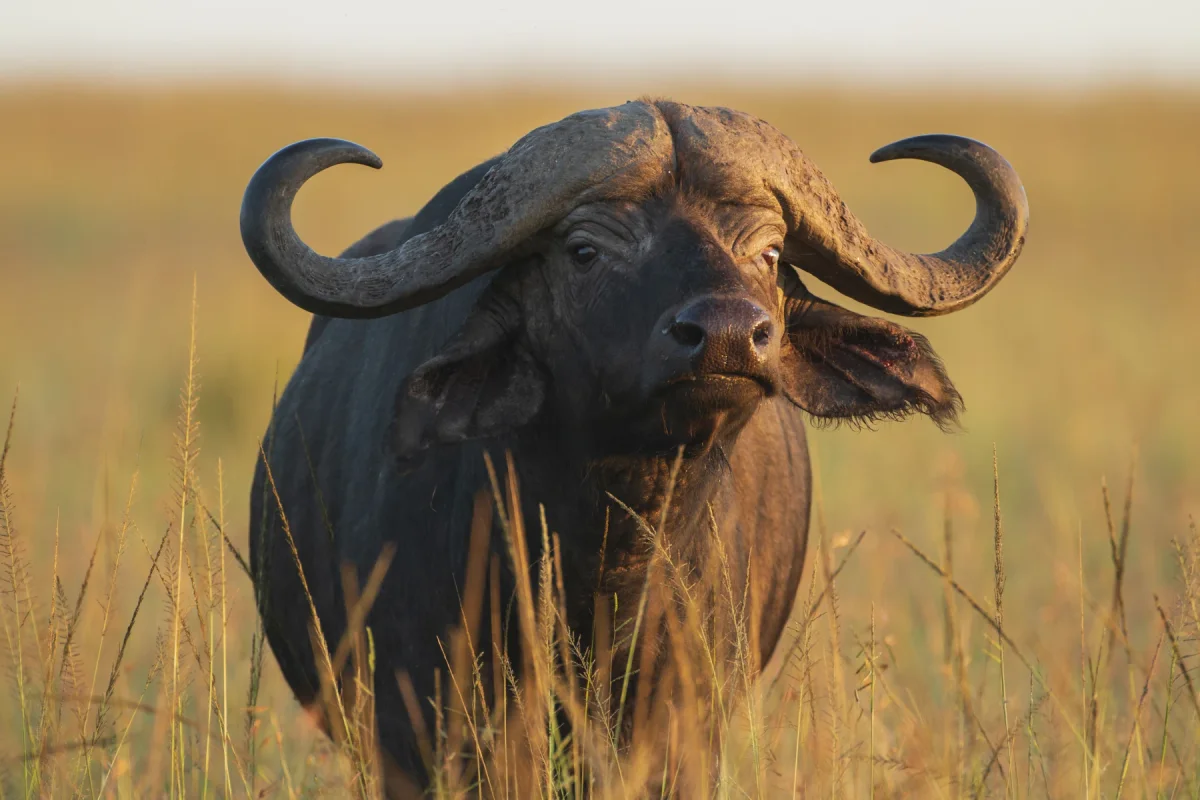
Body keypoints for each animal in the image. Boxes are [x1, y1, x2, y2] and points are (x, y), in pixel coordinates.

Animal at [240, 99, 1027, 793]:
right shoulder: (425, 732)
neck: (608, 564)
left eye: (771, 252)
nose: (730, 333)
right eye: (584, 250)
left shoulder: (682, 732)